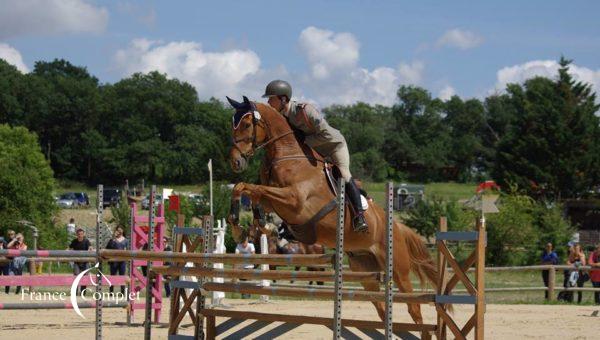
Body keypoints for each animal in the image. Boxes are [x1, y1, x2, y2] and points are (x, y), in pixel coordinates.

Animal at [227, 95, 438, 326]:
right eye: (233, 123)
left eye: (246, 124)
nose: (235, 161)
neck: (288, 156)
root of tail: (397, 226)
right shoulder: (274, 199)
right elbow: (246, 189)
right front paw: (246, 228)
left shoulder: (294, 200)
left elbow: (253, 189)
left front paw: (253, 228)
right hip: (364, 270)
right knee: (381, 307)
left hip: (398, 269)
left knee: (414, 307)